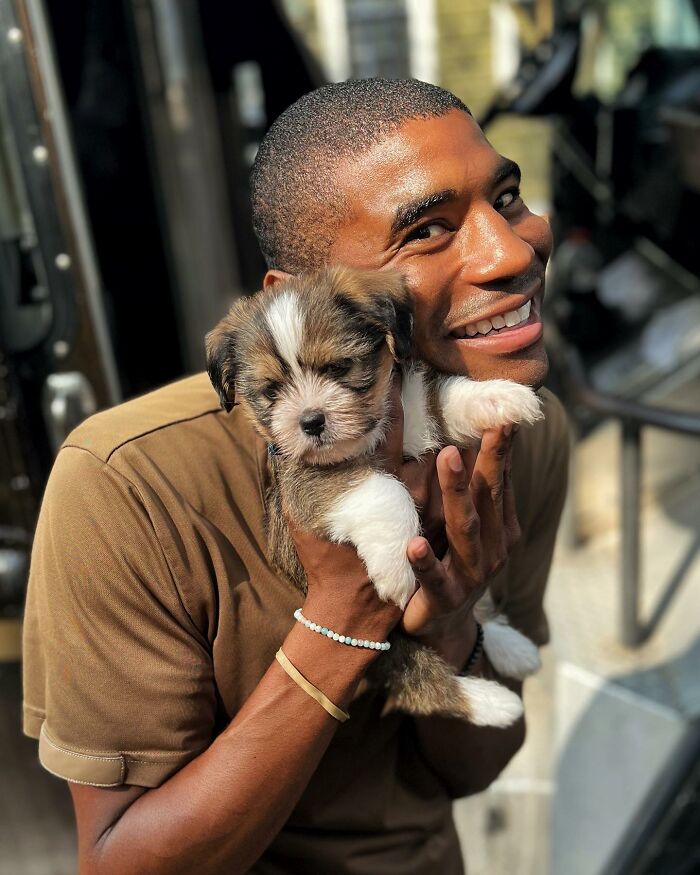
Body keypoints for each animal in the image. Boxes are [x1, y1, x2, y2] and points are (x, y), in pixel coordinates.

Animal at [205, 266, 544, 724]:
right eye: (271, 391)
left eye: (339, 366)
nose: (310, 421)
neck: (373, 433)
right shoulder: (308, 483)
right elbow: (383, 488)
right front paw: (398, 567)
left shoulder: (414, 407)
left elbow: (444, 396)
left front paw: (500, 396)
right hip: (391, 650)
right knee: (422, 682)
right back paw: (493, 702)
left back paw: (516, 650)